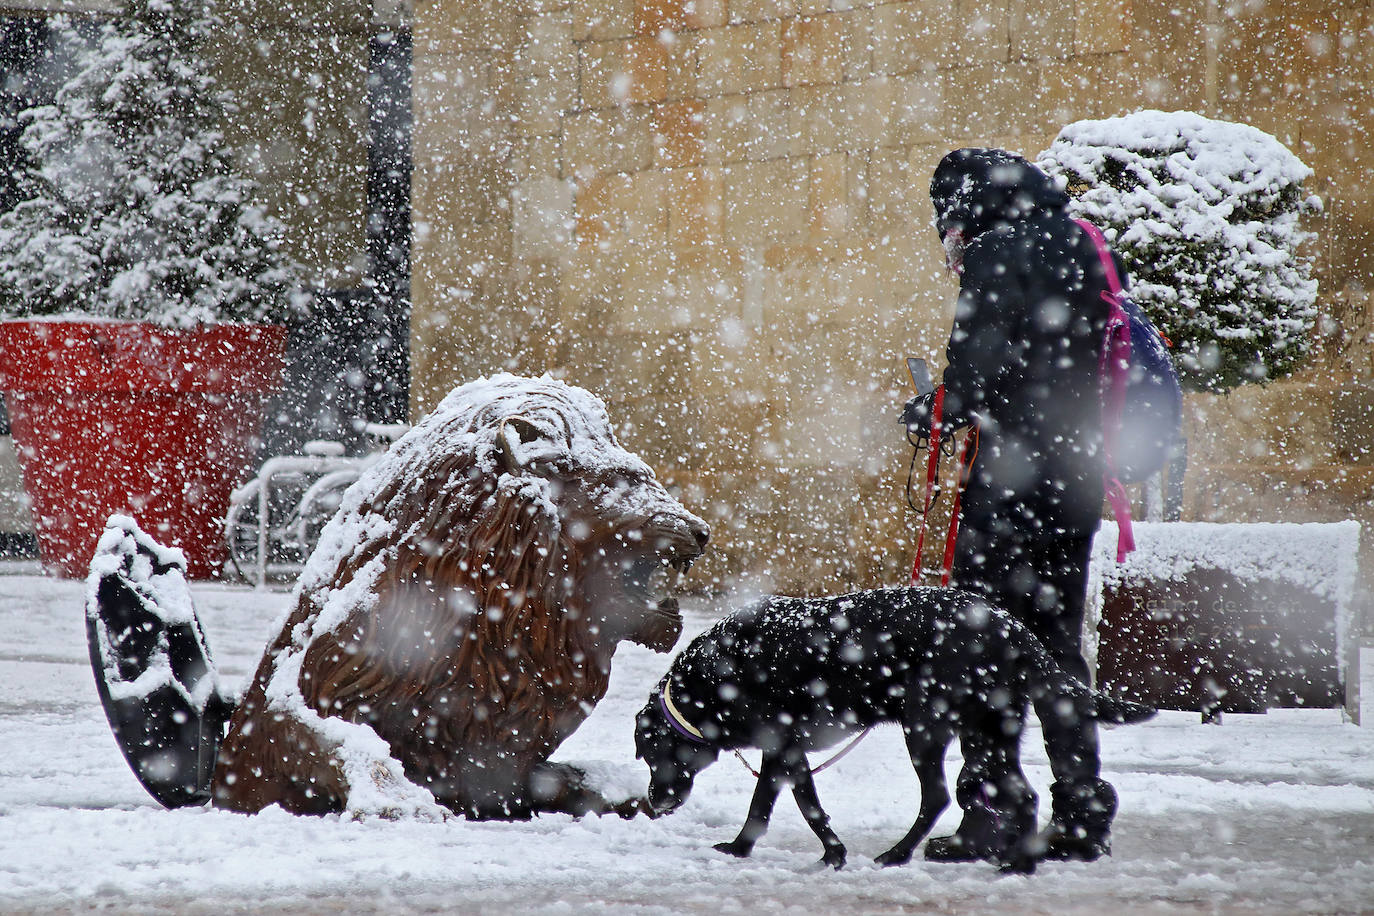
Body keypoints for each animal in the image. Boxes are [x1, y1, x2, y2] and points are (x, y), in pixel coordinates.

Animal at [637, 587, 1154, 873]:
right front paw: (771, 849)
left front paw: (816, 853)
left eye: (652, 755)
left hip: (924, 728)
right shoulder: (786, 751)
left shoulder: (780, 745)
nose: (652, 804)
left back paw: (902, 854)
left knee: (940, 797)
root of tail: (1011, 627)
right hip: (987, 734)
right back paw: (1015, 862)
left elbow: (787, 806)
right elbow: (783, 804)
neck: (710, 680)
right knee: (1020, 795)